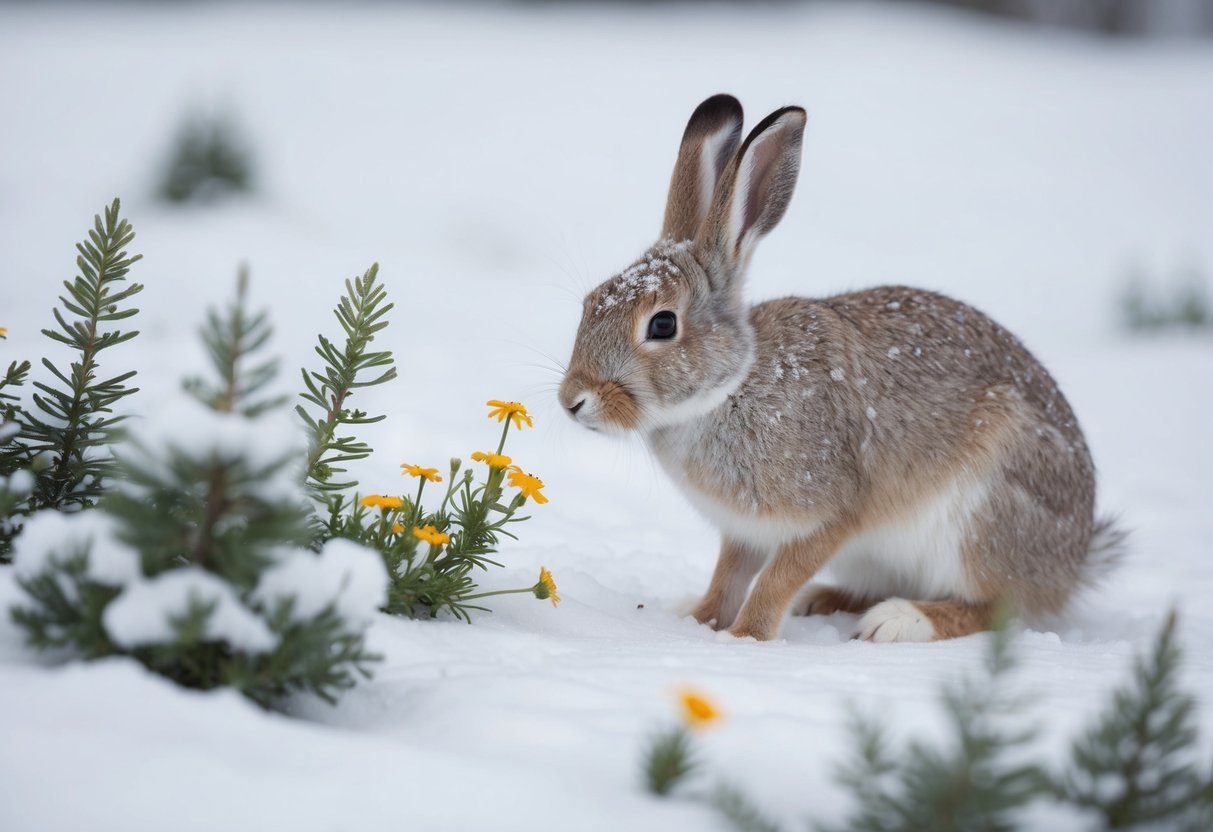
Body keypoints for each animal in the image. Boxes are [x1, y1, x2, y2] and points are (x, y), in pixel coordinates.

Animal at [558, 94, 1125, 642]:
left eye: (662, 325)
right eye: (590, 303)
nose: (572, 401)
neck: (729, 389)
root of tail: (1073, 563)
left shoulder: (831, 515)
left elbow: (775, 579)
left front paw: (745, 638)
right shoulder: (744, 532)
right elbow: (728, 577)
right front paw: (696, 619)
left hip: (982, 518)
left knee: (993, 607)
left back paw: (897, 622)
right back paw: (824, 600)